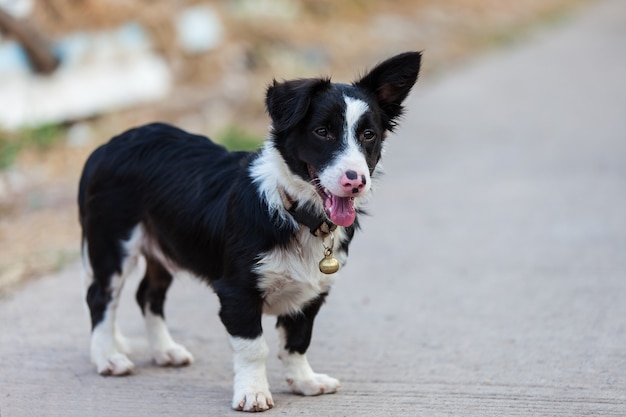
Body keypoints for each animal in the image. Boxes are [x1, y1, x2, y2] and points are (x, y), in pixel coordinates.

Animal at [78, 51, 420, 410]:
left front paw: (304, 381)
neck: (294, 211)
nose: (355, 181)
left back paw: (165, 351)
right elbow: (254, 347)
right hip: (113, 245)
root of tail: (106, 146)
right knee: (100, 297)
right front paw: (253, 392)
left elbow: (298, 340)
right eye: (322, 131)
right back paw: (107, 358)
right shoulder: (237, 292)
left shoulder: (313, 292)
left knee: (148, 294)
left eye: (368, 135)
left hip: (165, 245)